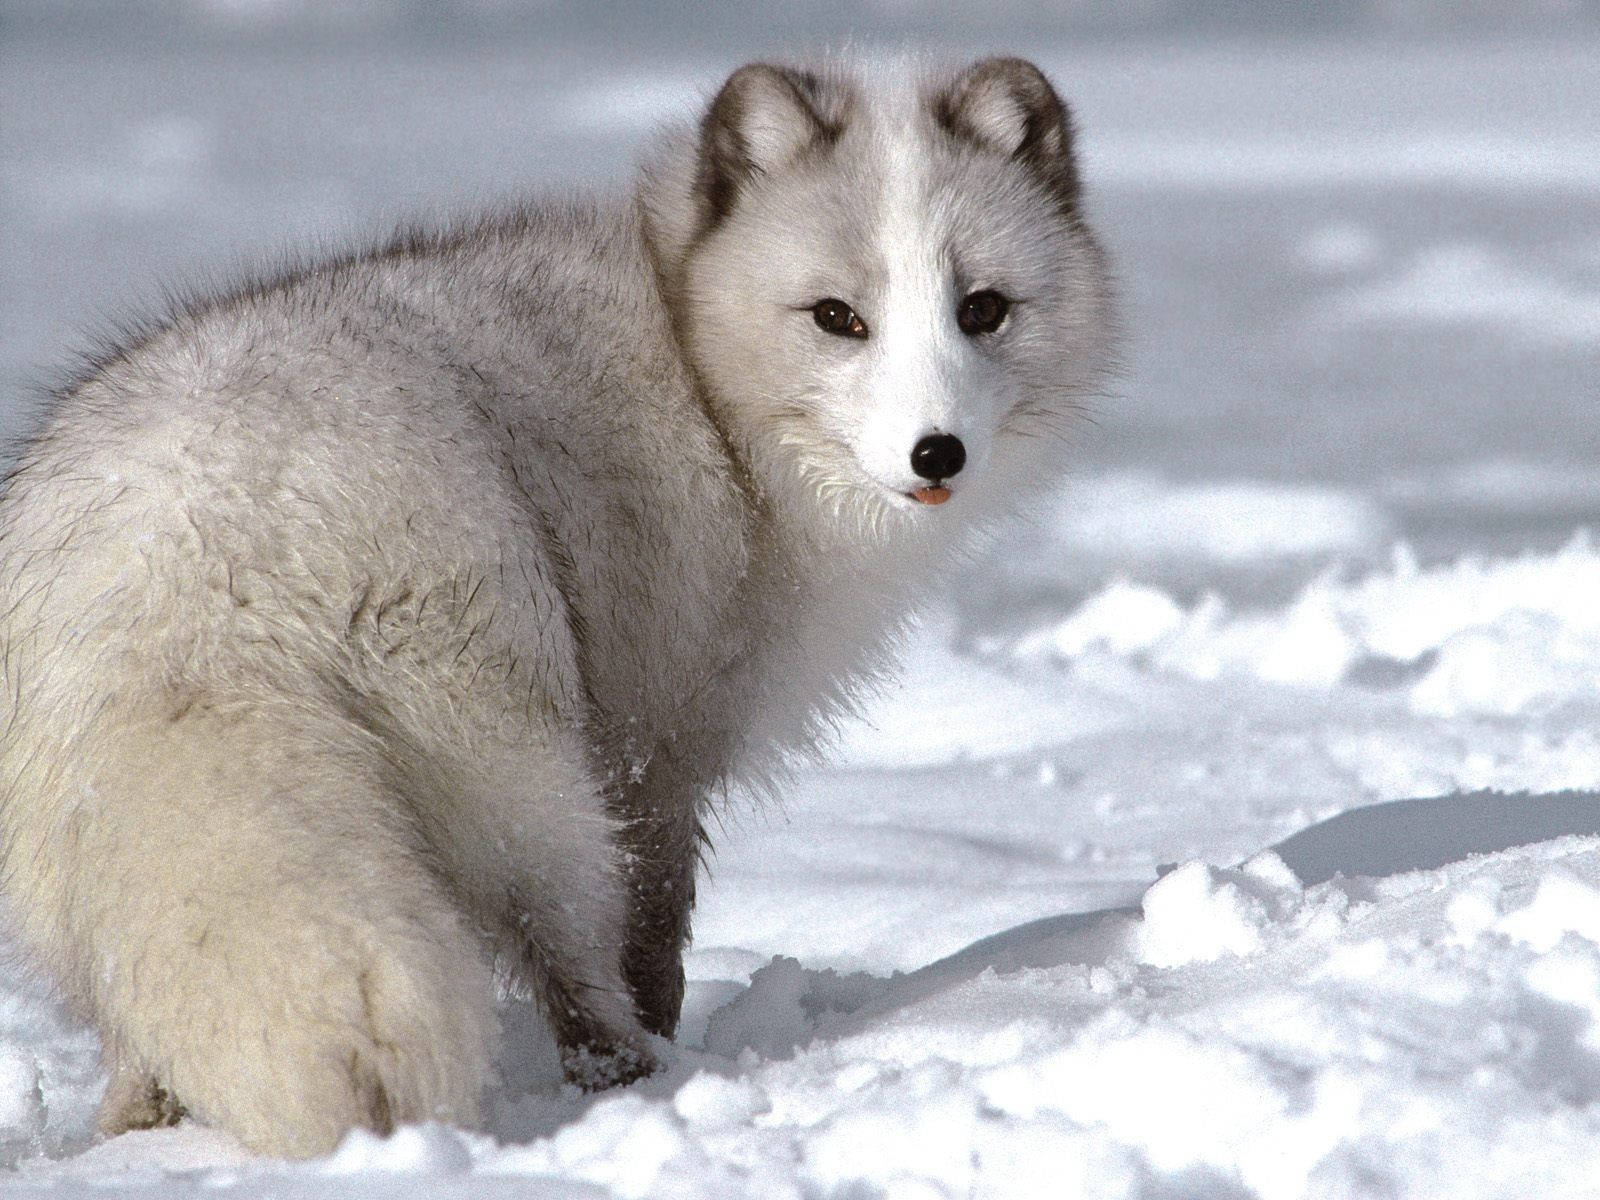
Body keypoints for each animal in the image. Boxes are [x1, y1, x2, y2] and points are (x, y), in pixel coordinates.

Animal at [0, 56, 1113, 1158]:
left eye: (983, 309)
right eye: (837, 317)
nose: (938, 453)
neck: (699, 368)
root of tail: (190, 554)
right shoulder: (659, 744)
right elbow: (654, 930)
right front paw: (663, 1037)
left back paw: (136, 1135)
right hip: (522, 776)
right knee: (569, 957)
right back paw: (633, 1078)